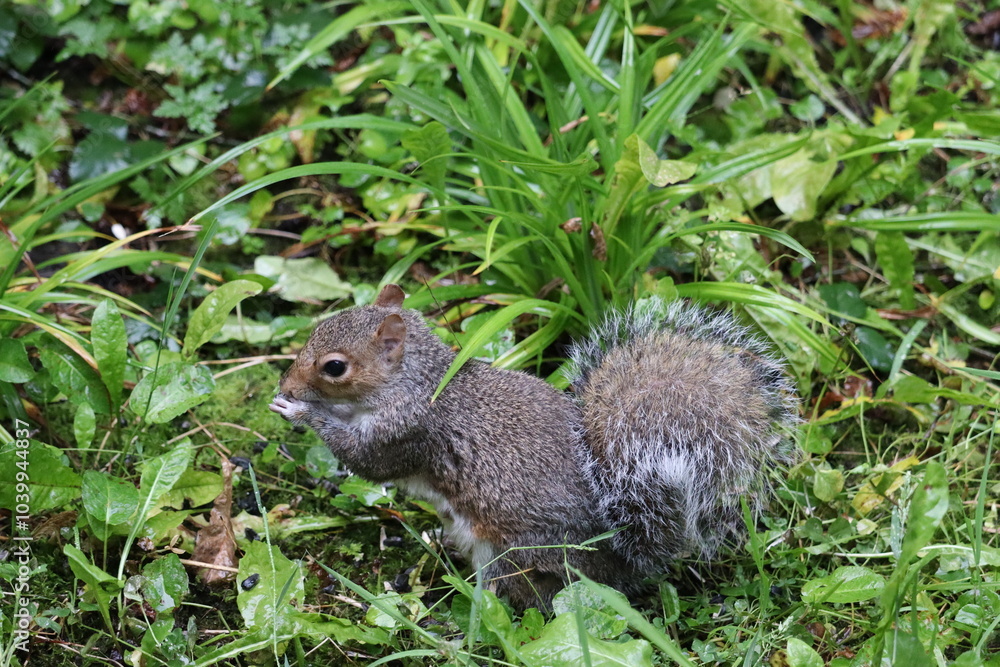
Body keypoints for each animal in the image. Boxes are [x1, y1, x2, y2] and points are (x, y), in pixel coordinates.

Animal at [269, 284, 798, 610]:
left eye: (334, 367)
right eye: (318, 326)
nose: (286, 384)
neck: (418, 382)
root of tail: (621, 560)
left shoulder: (408, 431)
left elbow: (368, 462)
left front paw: (300, 412)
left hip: (514, 552)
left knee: (528, 599)